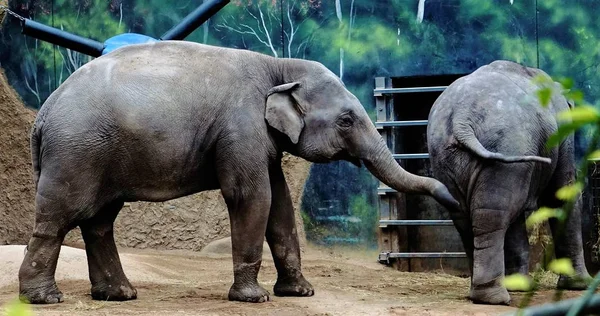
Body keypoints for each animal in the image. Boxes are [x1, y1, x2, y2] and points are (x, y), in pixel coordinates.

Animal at [18, 39, 460, 304]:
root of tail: (43, 113)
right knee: (60, 218)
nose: (455, 202)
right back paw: (45, 299)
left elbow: (280, 203)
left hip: (98, 152)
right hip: (77, 151)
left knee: (99, 220)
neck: (278, 65)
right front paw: (255, 298)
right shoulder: (240, 126)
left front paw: (301, 292)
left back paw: (121, 295)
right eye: (347, 120)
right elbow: (252, 196)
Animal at [426, 60, 592, 304]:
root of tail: (461, 119)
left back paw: (481, 292)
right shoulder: (562, 133)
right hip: (507, 147)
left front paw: (521, 287)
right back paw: (494, 298)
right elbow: (560, 194)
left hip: (446, 156)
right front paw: (581, 285)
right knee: (492, 216)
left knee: (467, 217)